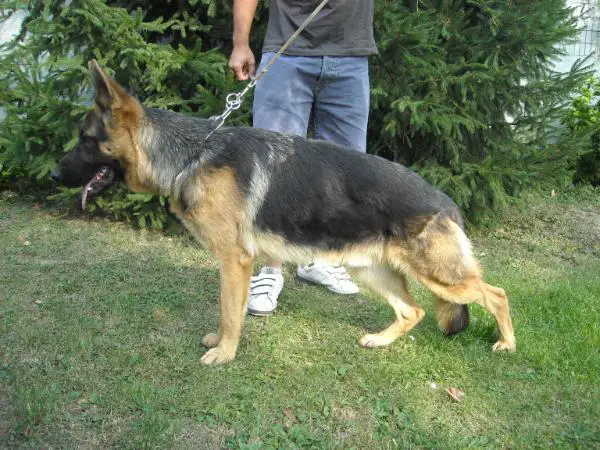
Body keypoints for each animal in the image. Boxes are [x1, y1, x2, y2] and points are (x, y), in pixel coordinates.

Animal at [52, 60, 516, 364]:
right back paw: (380, 342)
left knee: (495, 293)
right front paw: (221, 343)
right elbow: (229, 311)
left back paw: (507, 344)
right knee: (414, 311)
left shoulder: (234, 261)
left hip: (440, 277)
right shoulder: (236, 264)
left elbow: (229, 312)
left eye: (86, 139)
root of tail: (447, 203)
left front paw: (225, 354)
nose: (54, 173)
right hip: (372, 270)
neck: (191, 155)